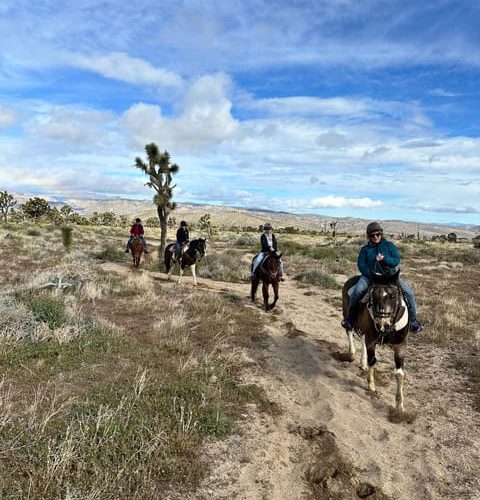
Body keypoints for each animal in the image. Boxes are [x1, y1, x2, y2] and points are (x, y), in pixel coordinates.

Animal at [342, 270, 408, 410]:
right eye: (373, 296)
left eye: (393, 296)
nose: (382, 324)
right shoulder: (371, 339)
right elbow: (372, 360)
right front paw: (371, 386)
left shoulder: (400, 344)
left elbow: (399, 373)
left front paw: (400, 405)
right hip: (347, 314)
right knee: (349, 331)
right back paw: (351, 353)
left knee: (362, 340)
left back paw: (363, 363)